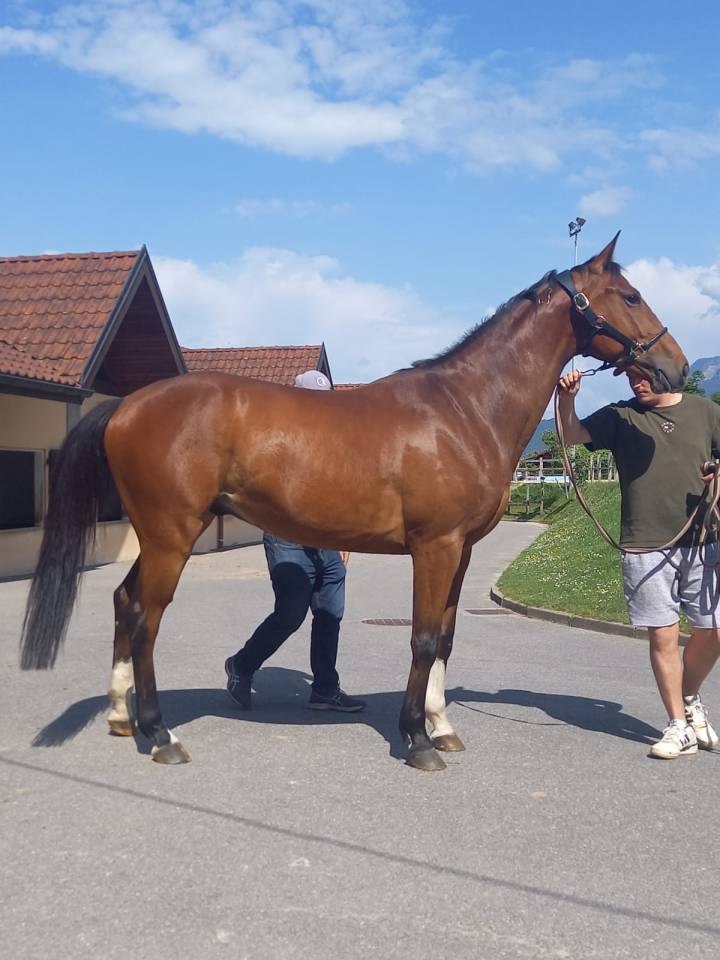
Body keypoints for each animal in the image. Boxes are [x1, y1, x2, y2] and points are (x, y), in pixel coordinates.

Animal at [20, 235, 688, 771]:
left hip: (161, 536)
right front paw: (416, 741)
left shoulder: (462, 552)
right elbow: (422, 638)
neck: (465, 408)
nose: (675, 366)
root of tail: (128, 404)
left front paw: (442, 726)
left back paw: (121, 716)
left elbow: (446, 637)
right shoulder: (434, 547)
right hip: (170, 536)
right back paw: (160, 735)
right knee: (145, 617)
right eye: (630, 296)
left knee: (122, 601)